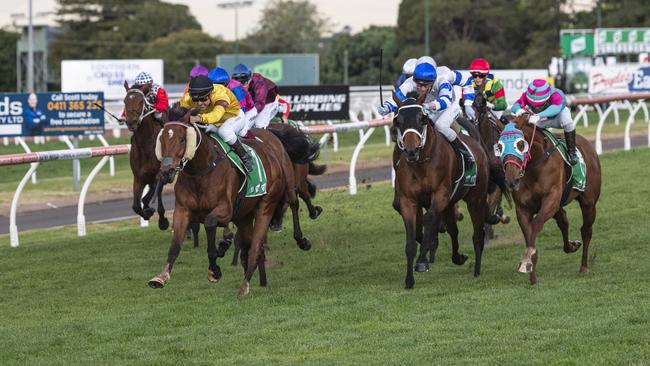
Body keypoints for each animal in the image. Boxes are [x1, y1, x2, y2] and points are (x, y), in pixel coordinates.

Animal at [147, 113, 312, 296]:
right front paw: (161, 277)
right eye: (161, 139)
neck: (201, 171)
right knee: (252, 246)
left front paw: (214, 268)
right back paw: (261, 281)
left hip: (270, 201)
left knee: (265, 235)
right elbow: (175, 246)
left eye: (182, 139)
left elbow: (210, 223)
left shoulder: (225, 210)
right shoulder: (182, 211)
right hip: (244, 216)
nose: (166, 172)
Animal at [390, 94, 502, 288]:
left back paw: (477, 269)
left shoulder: (440, 194)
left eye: (421, 119)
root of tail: (476, 144)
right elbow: (411, 240)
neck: (421, 164)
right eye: (398, 121)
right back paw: (458, 256)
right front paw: (409, 279)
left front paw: (422, 261)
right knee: (453, 230)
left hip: (475, 199)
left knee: (477, 234)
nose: (411, 150)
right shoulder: (407, 200)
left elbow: (429, 219)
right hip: (451, 202)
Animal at [494, 114, 600, 286]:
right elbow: (529, 232)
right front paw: (530, 272)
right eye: (499, 146)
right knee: (564, 222)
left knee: (586, 230)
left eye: (520, 144)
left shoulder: (551, 200)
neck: (535, 165)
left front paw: (527, 262)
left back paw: (584, 266)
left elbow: (535, 225)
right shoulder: (523, 208)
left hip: (589, 203)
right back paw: (571, 246)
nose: (511, 180)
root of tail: (588, 145)